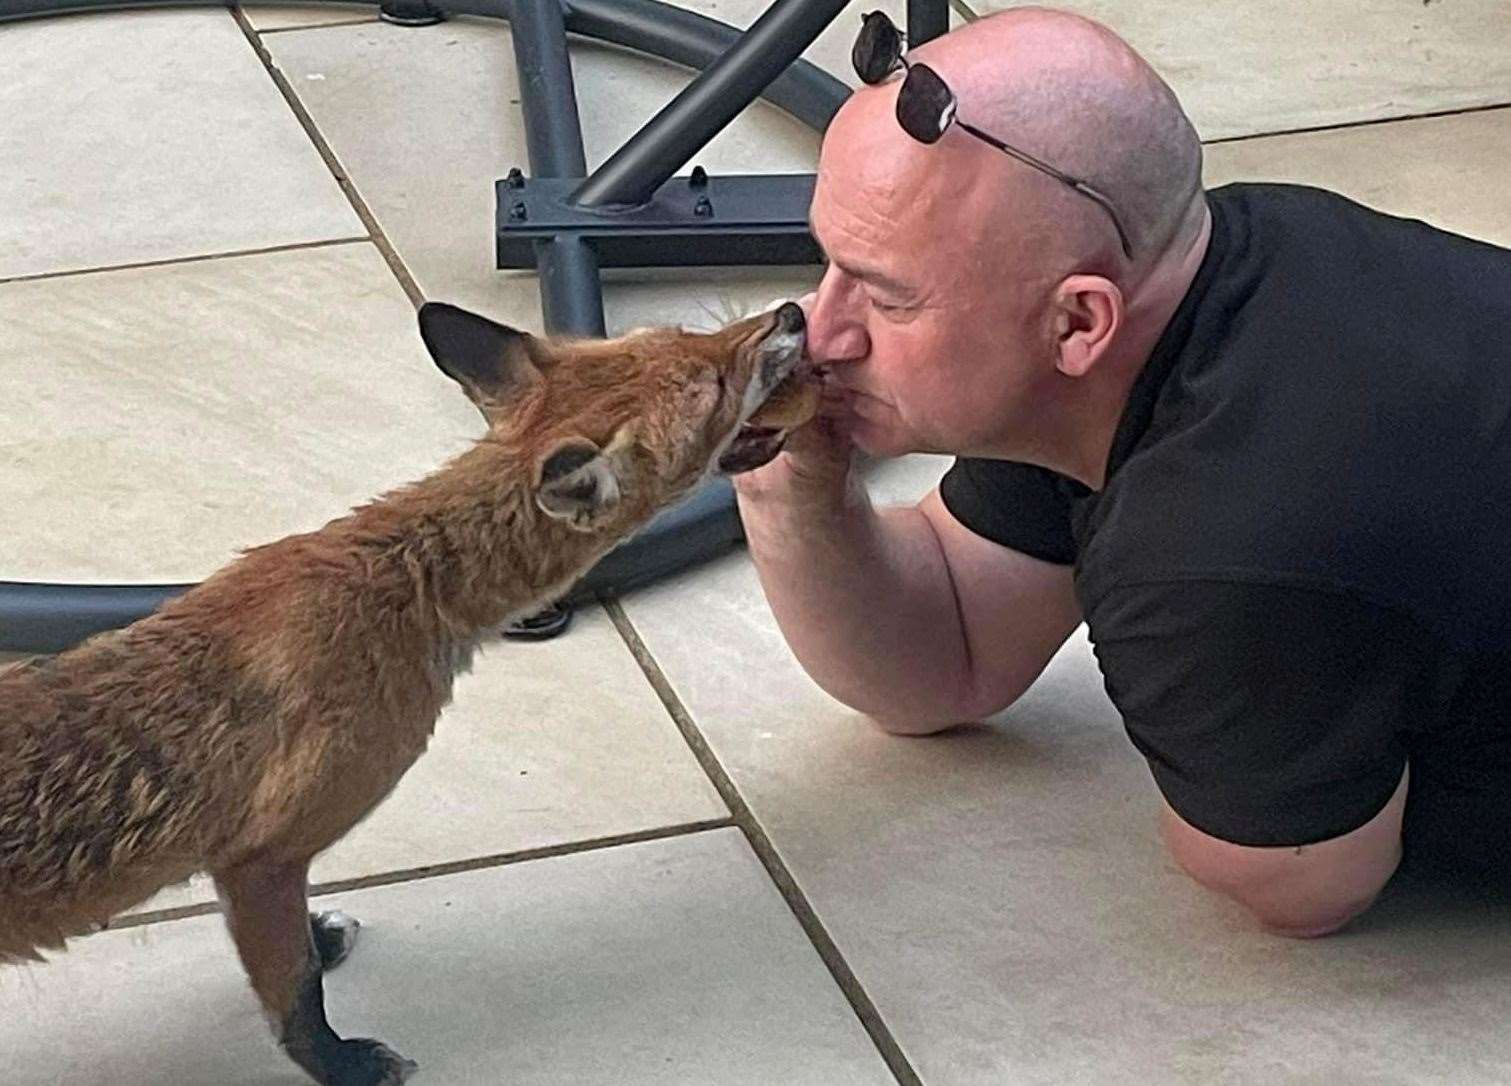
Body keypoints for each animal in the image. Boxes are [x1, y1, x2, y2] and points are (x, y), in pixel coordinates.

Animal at [0, 302, 815, 1086]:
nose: (791, 312)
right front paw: (340, 1066)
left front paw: (321, 940)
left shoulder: (260, 875)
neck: (401, 588)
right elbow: (296, 994)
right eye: (714, 388)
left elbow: (294, 948)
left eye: (685, 333)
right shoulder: (262, 856)